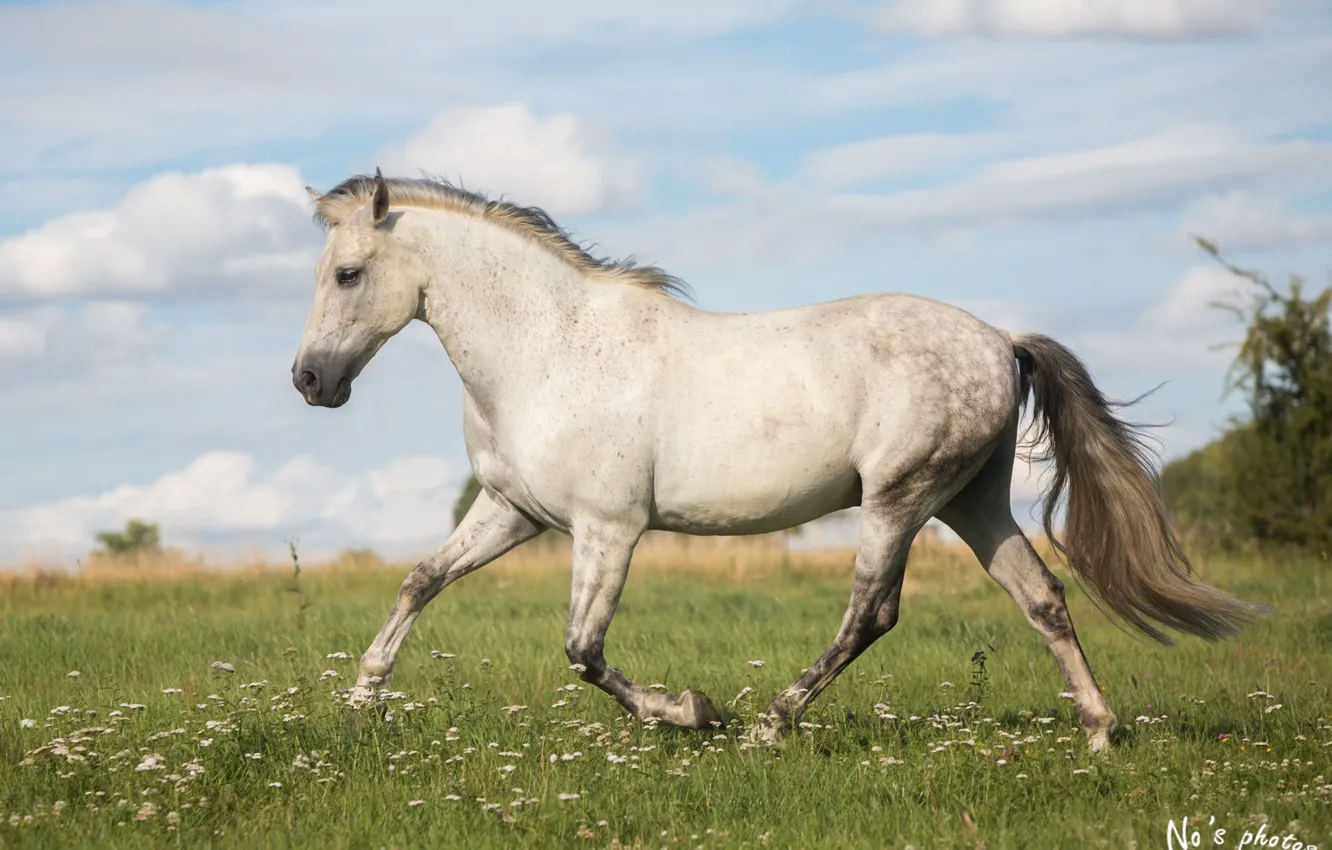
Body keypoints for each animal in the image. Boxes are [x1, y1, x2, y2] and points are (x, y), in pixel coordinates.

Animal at [291, 169, 1257, 751]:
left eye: (347, 274)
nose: (309, 381)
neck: (549, 348)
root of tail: (999, 341)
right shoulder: (513, 512)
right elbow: (420, 581)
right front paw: (360, 704)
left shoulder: (608, 529)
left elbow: (583, 649)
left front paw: (691, 712)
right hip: (972, 502)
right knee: (1044, 598)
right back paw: (1099, 733)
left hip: (899, 499)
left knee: (872, 614)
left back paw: (769, 724)